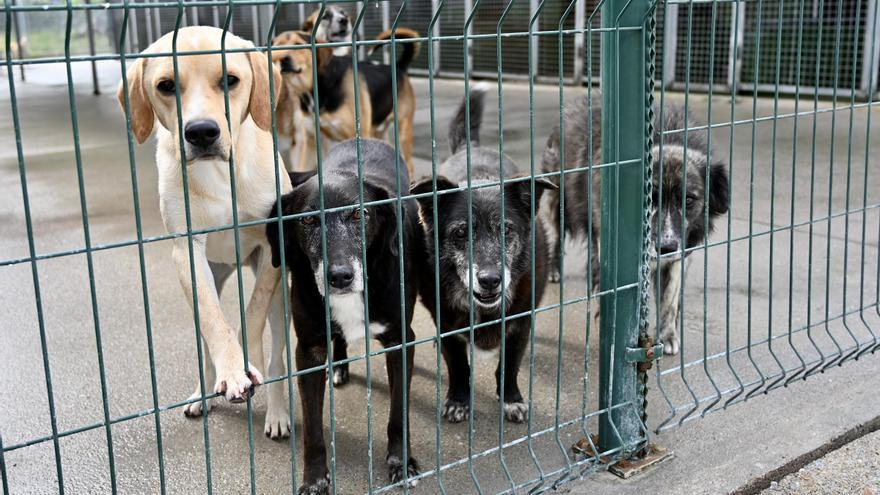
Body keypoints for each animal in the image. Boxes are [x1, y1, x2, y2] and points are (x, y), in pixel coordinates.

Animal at [117, 26, 298, 438]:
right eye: (166, 86)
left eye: (230, 80)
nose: (201, 132)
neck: (220, 173)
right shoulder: (187, 253)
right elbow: (217, 323)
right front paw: (231, 370)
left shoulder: (271, 247)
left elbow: (252, 313)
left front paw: (246, 360)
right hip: (208, 278)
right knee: (206, 336)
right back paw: (203, 393)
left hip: (281, 301)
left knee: (278, 359)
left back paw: (277, 414)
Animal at [266, 139, 422, 492]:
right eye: (307, 221)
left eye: (360, 214)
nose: (339, 277)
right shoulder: (308, 350)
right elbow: (312, 428)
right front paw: (314, 479)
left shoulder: (401, 340)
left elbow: (399, 413)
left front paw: (401, 463)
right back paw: (338, 366)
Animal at [272, 28, 420, 174]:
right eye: (277, 47)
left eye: (298, 45)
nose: (283, 59)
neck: (318, 87)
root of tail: (399, 67)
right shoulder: (309, 141)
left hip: (403, 130)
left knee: (410, 165)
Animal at [414, 87, 552, 424]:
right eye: (460, 233)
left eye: (507, 230)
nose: (490, 280)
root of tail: (472, 147)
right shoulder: (448, 325)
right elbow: (458, 366)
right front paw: (458, 401)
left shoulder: (520, 323)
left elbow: (510, 365)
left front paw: (512, 399)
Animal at [540, 94, 732, 356]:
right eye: (649, 198)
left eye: (688, 199)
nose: (666, 247)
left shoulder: (681, 251)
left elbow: (670, 298)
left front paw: (668, 335)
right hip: (558, 202)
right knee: (556, 236)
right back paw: (554, 270)